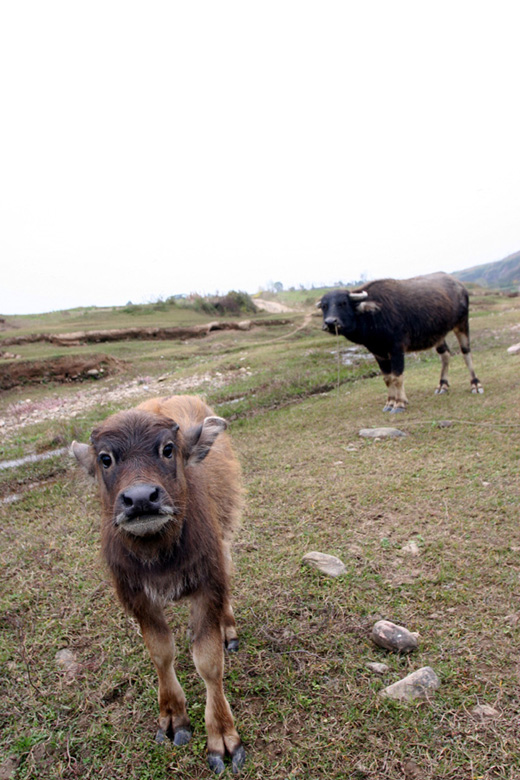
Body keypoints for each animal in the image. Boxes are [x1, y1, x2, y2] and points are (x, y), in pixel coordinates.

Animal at [71, 396, 248, 772]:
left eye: (168, 449)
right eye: (105, 458)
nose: (140, 499)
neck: (159, 554)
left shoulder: (207, 585)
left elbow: (208, 662)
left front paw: (223, 737)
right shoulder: (138, 598)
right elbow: (160, 652)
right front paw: (172, 718)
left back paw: (227, 628)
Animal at [316, 272, 484, 412]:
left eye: (343, 303)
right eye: (324, 306)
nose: (330, 322)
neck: (373, 316)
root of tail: (459, 285)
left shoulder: (397, 349)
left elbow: (397, 377)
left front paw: (400, 403)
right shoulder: (378, 352)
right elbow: (387, 378)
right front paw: (389, 402)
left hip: (462, 323)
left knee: (466, 353)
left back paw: (475, 384)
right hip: (438, 335)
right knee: (446, 355)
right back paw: (442, 385)